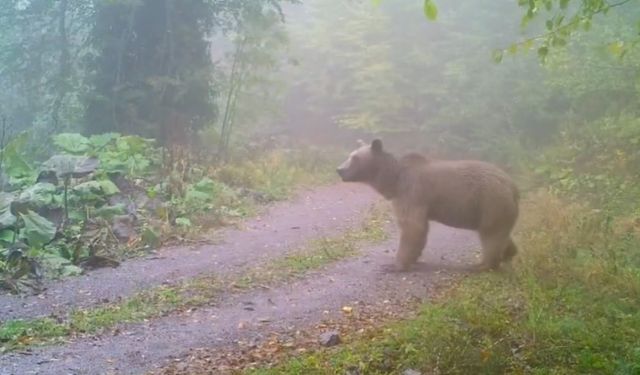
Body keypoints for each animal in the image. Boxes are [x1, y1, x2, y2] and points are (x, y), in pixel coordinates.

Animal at [336, 140, 520, 272]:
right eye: (350, 155)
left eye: (355, 158)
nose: (339, 169)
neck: (394, 180)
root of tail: (513, 185)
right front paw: (414, 259)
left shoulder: (411, 193)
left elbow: (412, 226)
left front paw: (394, 265)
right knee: (501, 234)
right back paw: (509, 254)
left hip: (490, 202)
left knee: (491, 234)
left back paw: (482, 265)